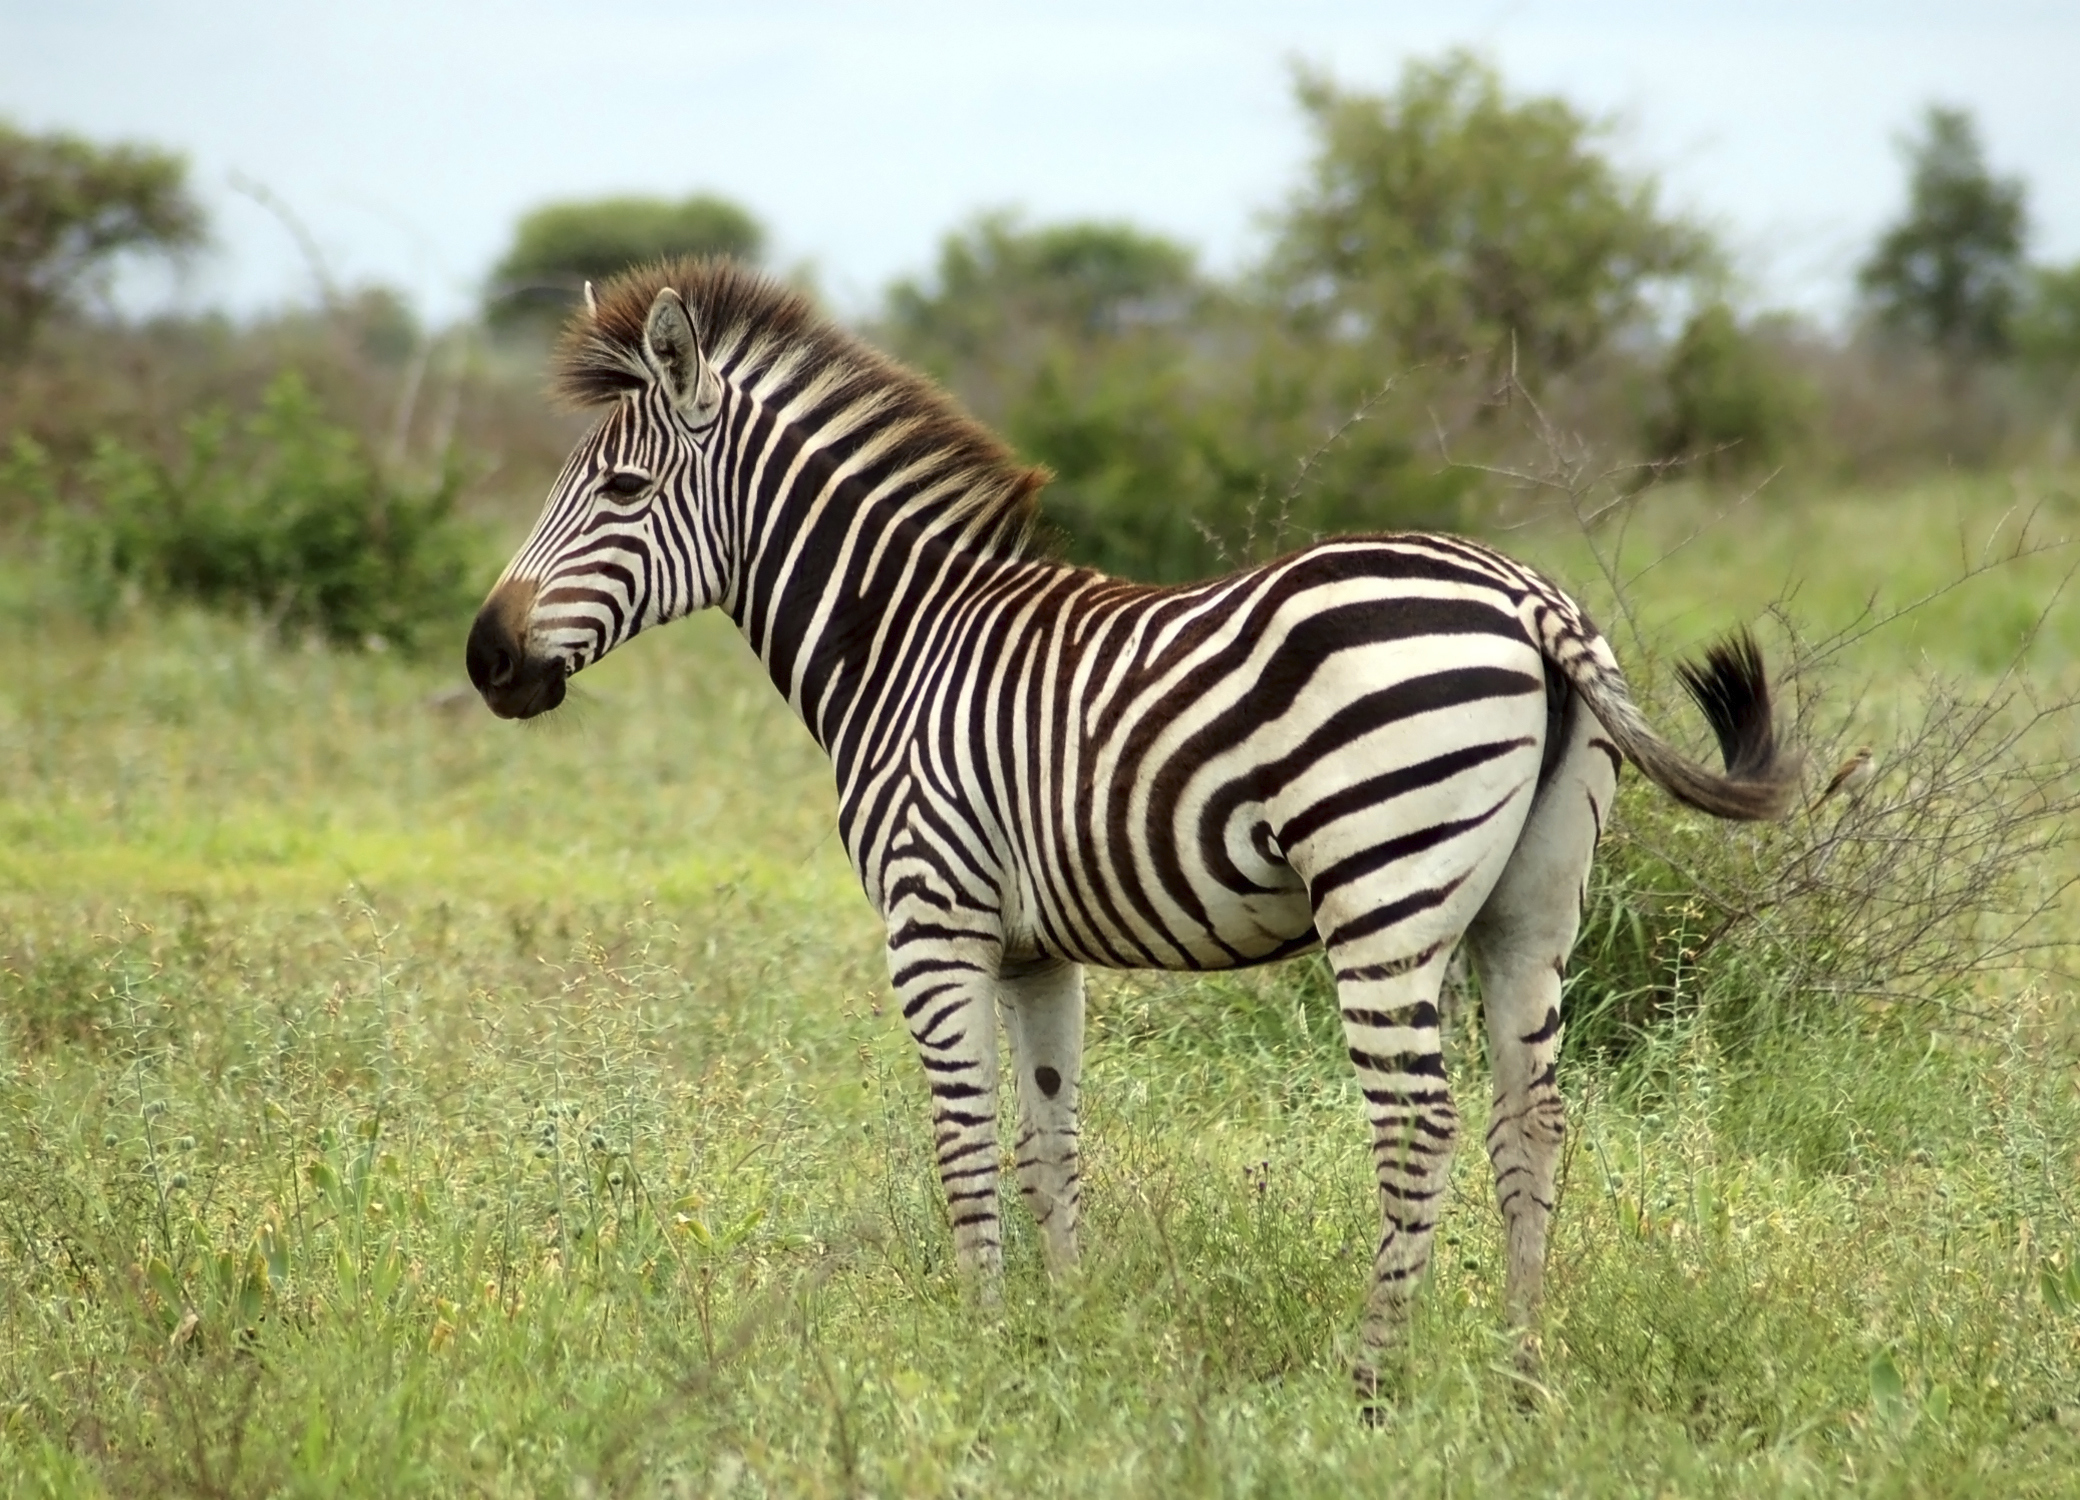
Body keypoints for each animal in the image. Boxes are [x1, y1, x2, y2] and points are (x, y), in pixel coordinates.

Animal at [463, 257, 1797, 1389]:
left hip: (1379, 892)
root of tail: (1525, 598)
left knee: (1419, 1125)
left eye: (622, 490)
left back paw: (1372, 1381)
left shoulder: (930, 923)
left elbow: (963, 1142)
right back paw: (1521, 1373)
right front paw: (1058, 1335)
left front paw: (979, 1346)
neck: (899, 643)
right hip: (1533, 907)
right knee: (1535, 1121)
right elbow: (1050, 1142)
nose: (487, 659)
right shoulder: (1033, 950)